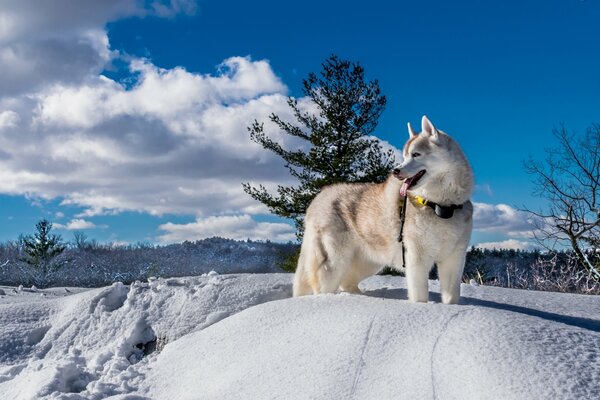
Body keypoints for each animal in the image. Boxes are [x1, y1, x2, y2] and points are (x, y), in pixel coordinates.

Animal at [292, 115, 476, 304]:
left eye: (416, 154)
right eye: (405, 156)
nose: (395, 171)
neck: (440, 205)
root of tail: (319, 197)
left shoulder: (454, 259)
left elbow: (451, 297)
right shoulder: (417, 258)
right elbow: (420, 296)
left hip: (369, 262)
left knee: (346, 281)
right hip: (335, 262)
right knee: (323, 286)